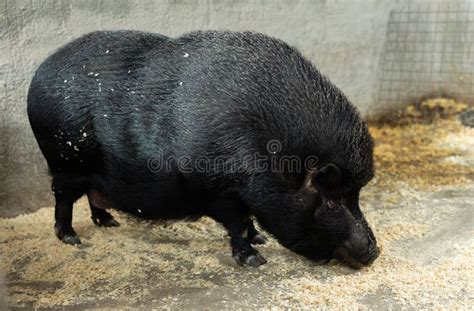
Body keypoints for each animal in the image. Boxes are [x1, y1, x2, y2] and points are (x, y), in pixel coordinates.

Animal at [27, 32, 380, 270]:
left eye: (356, 195)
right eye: (331, 199)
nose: (375, 252)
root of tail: (38, 75)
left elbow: (249, 221)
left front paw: (261, 239)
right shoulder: (220, 191)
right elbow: (237, 223)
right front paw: (256, 259)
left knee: (92, 196)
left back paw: (109, 222)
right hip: (66, 163)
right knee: (62, 199)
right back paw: (73, 239)